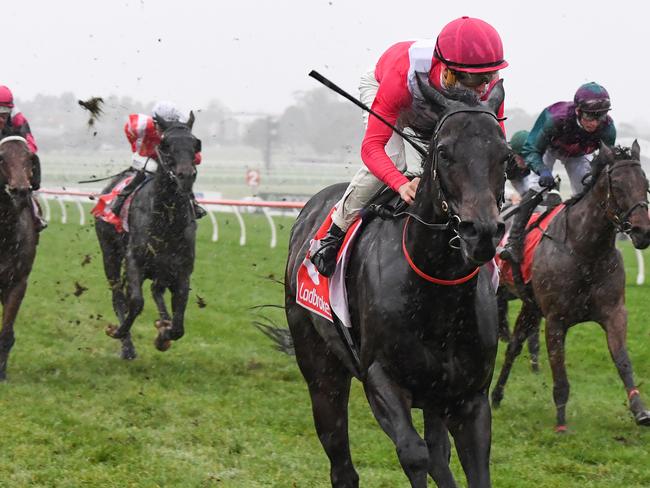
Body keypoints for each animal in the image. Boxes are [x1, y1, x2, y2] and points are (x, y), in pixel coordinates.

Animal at [95, 113, 199, 358]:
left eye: (196, 144)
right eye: (165, 144)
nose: (186, 176)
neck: (167, 222)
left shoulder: (182, 270)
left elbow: (178, 326)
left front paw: (164, 333)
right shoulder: (134, 260)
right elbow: (135, 302)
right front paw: (118, 332)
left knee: (155, 289)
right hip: (110, 254)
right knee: (118, 295)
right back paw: (127, 346)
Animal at [286, 76, 508, 488]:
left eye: (505, 155)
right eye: (443, 152)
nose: (482, 232)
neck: (438, 292)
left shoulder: (469, 397)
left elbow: (465, 466)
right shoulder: (381, 379)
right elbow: (413, 453)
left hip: (436, 396)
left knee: (439, 453)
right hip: (320, 366)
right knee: (341, 459)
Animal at [492, 142, 648, 430]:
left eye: (646, 182)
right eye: (617, 185)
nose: (643, 231)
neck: (586, 251)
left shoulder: (614, 312)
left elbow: (622, 361)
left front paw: (639, 409)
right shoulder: (556, 320)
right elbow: (559, 371)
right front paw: (561, 423)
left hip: (531, 307)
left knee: (514, 346)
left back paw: (496, 395)